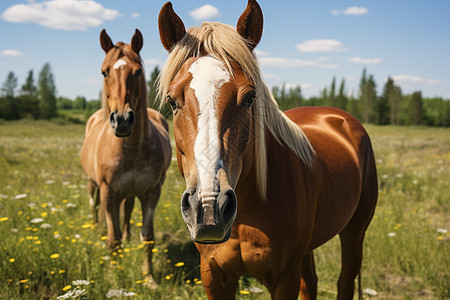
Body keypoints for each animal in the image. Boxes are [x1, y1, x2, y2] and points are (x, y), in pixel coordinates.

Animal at [80, 28, 171, 288]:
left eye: (137, 71)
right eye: (104, 71)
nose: (121, 120)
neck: (131, 148)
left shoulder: (152, 193)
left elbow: (148, 237)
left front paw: (149, 278)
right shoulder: (108, 191)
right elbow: (113, 238)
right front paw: (114, 279)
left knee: (128, 210)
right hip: (93, 184)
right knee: (94, 206)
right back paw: (97, 228)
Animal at [156, 1, 378, 298]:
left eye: (250, 97)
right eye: (172, 101)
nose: (209, 207)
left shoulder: (284, 278)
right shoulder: (213, 274)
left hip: (355, 231)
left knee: (346, 281)